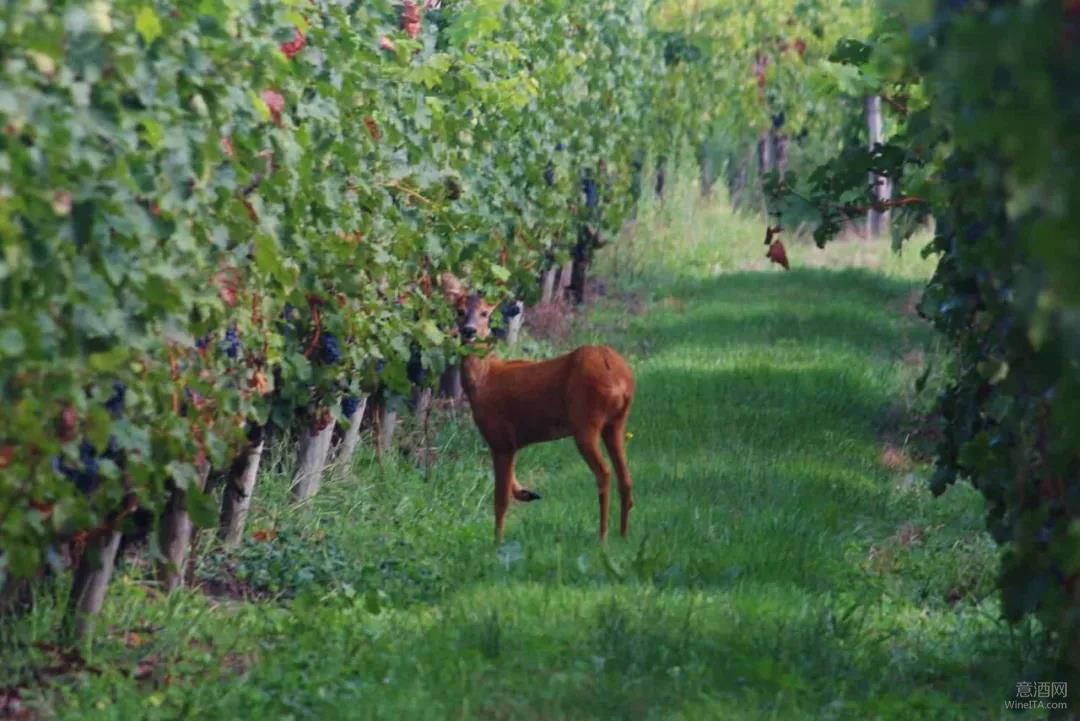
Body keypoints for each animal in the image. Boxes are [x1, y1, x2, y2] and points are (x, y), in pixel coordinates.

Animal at [442, 273, 635, 543]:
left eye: (485, 313)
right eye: (459, 311)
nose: (469, 331)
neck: (484, 379)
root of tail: (618, 375)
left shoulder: (500, 436)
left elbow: (500, 499)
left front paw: (497, 542)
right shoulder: (509, 441)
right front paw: (527, 493)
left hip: (585, 420)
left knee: (604, 472)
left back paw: (603, 536)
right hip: (616, 422)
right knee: (625, 476)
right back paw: (623, 534)